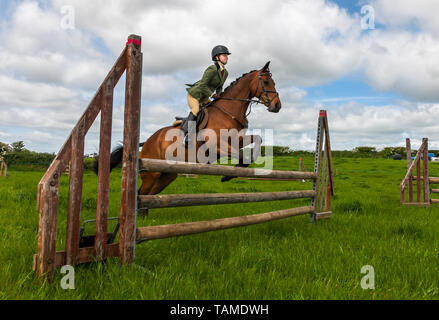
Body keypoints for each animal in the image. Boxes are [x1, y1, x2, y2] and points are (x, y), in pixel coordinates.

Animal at [95, 61, 282, 202]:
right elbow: (241, 155)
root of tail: (147, 141)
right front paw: (228, 175)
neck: (228, 111)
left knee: (148, 195)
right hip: (152, 173)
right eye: (266, 82)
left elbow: (257, 140)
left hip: (167, 175)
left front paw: (236, 170)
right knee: (141, 193)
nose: (277, 106)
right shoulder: (217, 145)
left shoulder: (237, 140)